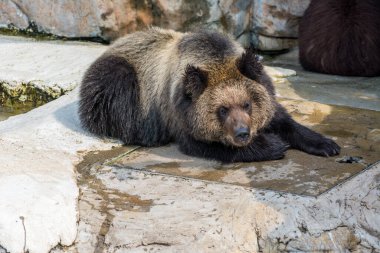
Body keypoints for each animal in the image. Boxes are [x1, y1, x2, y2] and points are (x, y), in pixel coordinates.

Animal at [78, 27, 340, 162]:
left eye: (247, 104)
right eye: (222, 109)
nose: (242, 133)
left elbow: (283, 119)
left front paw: (326, 144)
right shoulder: (179, 112)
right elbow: (205, 144)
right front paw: (273, 144)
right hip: (123, 80)